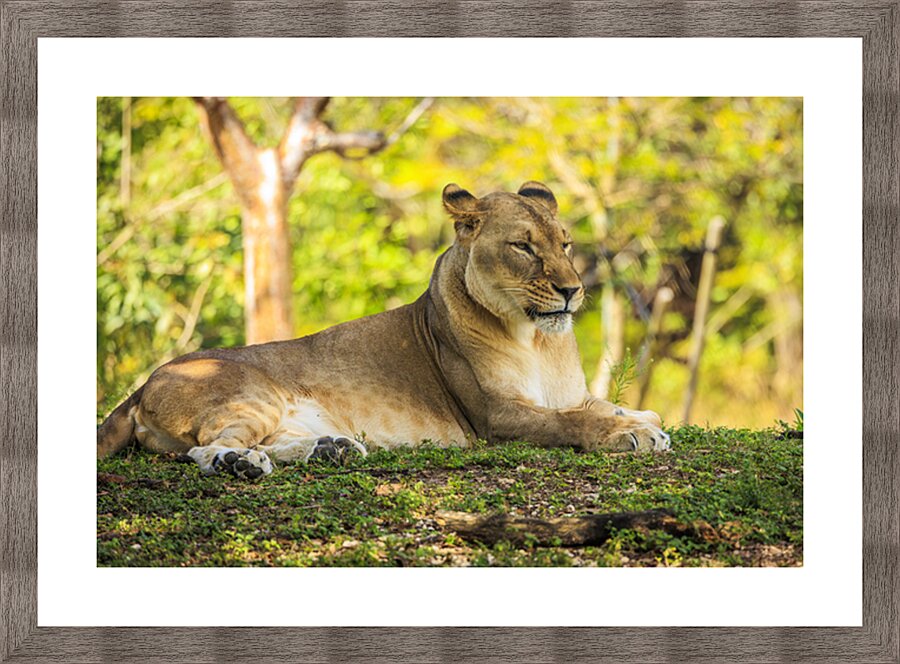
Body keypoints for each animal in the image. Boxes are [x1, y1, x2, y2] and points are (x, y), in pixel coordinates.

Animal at [97, 182, 670, 480]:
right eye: (524, 246)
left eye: (565, 243)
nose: (573, 289)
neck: (537, 338)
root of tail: (142, 386)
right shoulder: (494, 417)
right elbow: (572, 422)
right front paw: (633, 434)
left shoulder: (568, 392)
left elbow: (602, 405)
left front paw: (643, 418)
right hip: (251, 393)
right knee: (204, 450)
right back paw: (240, 463)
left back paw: (331, 449)